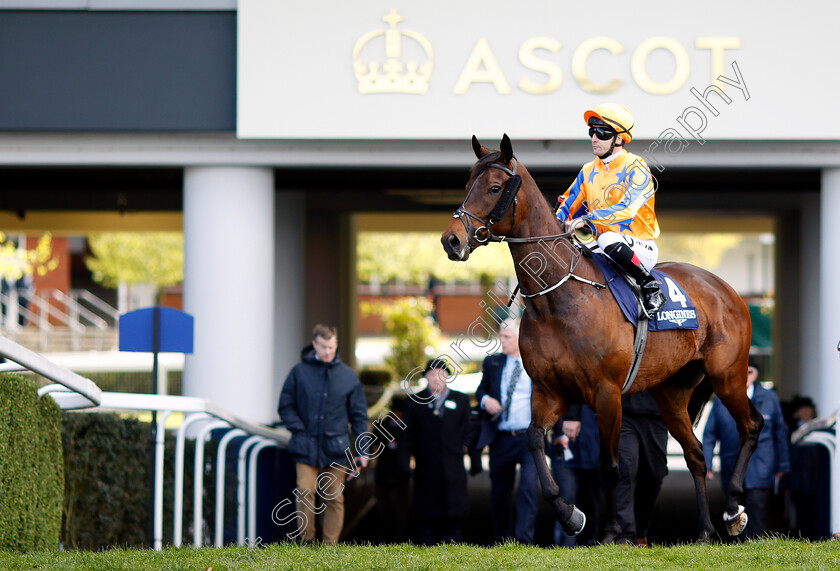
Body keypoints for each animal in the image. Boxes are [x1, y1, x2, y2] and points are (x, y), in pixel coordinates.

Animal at [442, 135, 764, 544]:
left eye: (495, 188)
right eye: (469, 184)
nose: (451, 240)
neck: (559, 301)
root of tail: (727, 290)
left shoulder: (608, 392)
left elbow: (610, 464)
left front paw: (612, 531)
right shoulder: (549, 391)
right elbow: (533, 442)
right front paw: (571, 516)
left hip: (728, 375)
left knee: (751, 426)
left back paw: (734, 509)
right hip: (672, 393)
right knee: (695, 454)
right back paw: (705, 529)